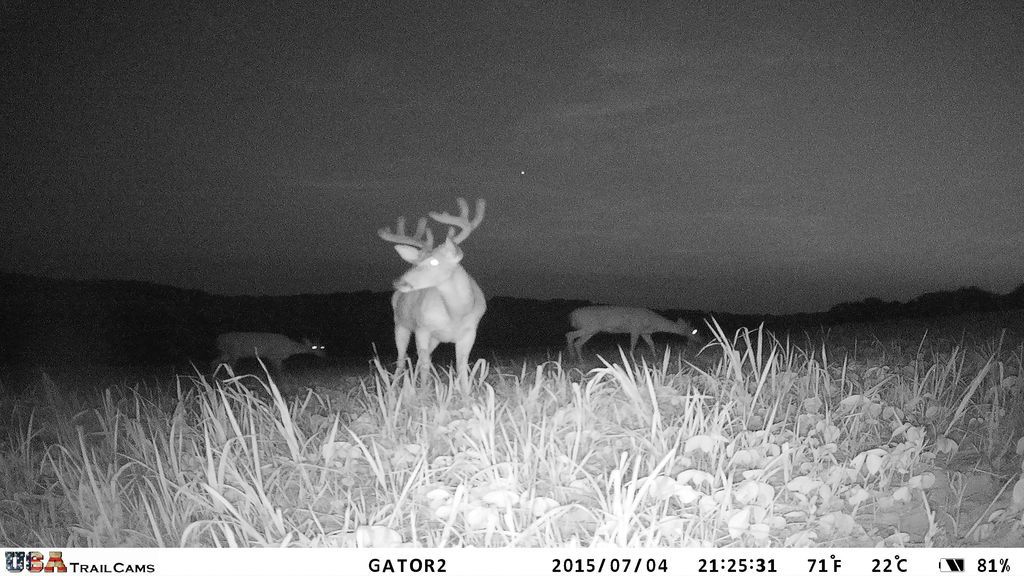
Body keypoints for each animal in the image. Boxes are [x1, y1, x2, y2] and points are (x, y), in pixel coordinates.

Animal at [378, 198, 487, 383]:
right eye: (415, 263)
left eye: (434, 262)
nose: (399, 281)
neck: (456, 314)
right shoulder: (422, 328)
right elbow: (424, 367)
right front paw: (423, 390)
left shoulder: (470, 332)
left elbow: (462, 369)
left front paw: (465, 391)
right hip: (400, 324)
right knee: (402, 359)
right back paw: (394, 386)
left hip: (434, 339)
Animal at [566, 306, 700, 359]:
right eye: (694, 331)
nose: (699, 340)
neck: (653, 323)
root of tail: (572, 315)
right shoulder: (635, 329)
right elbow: (633, 344)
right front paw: (631, 358)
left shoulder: (645, 333)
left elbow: (651, 344)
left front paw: (655, 356)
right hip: (590, 327)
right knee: (572, 337)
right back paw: (578, 359)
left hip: (591, 329)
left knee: (574, 339)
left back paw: (575, 357)